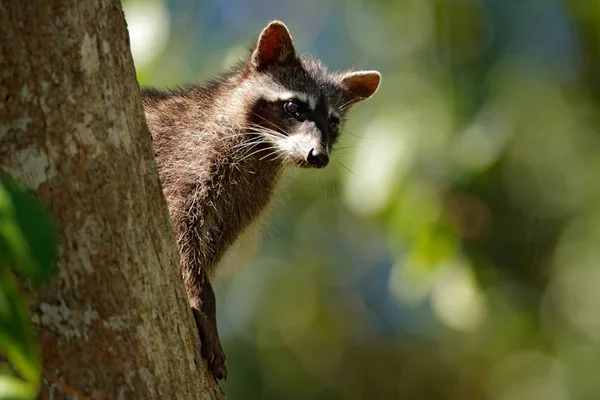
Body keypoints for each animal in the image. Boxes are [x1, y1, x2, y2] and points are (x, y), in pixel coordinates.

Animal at [142, 19, 380, 382]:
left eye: (332, 123)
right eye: (293, 108)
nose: (319, 157)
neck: (263, 147)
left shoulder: (245, 200)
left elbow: (213, 246)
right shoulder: (187, 162)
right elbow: (182, 229)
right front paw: (201, 300)